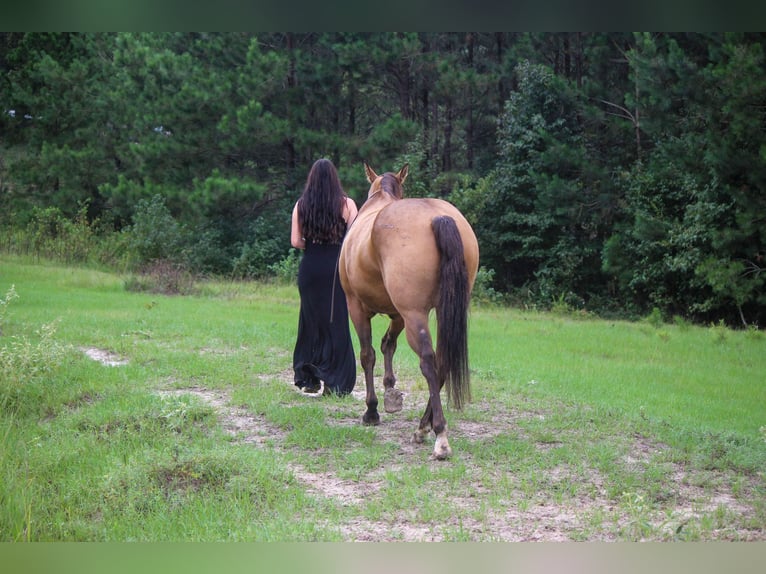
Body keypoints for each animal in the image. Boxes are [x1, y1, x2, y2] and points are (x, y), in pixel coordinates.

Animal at [340, 164, 476, 462]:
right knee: (442, 363)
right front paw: (391, 392)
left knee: (428, 362)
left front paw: (372, 410)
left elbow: (367, 355)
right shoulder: (398, 315)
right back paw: (424, 427)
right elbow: (388, 344)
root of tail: (438, 217)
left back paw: (439, 436)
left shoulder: (357, 307)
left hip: (415, 316)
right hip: (440, 313)